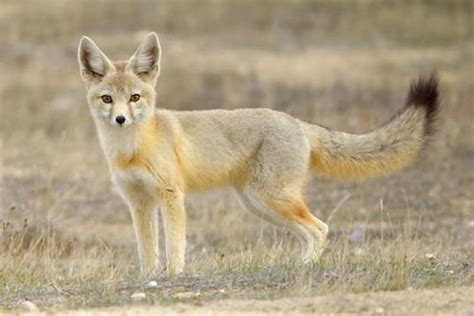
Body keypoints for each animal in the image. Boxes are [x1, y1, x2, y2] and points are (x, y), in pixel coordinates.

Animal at [77, 31, 440, 274]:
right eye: (107, 99)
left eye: (135, 98)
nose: (121, 119)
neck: (131, 149)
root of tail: (297, 122)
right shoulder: (138, 202)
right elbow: (147, 250)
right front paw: (149, 277)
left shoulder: (170, 196)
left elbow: (174, 246)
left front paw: (173, 276)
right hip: (259, 204)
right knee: (312, 231)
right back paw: (300, 264)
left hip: (270, 198)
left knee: (320, 228)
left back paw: (304, 266)